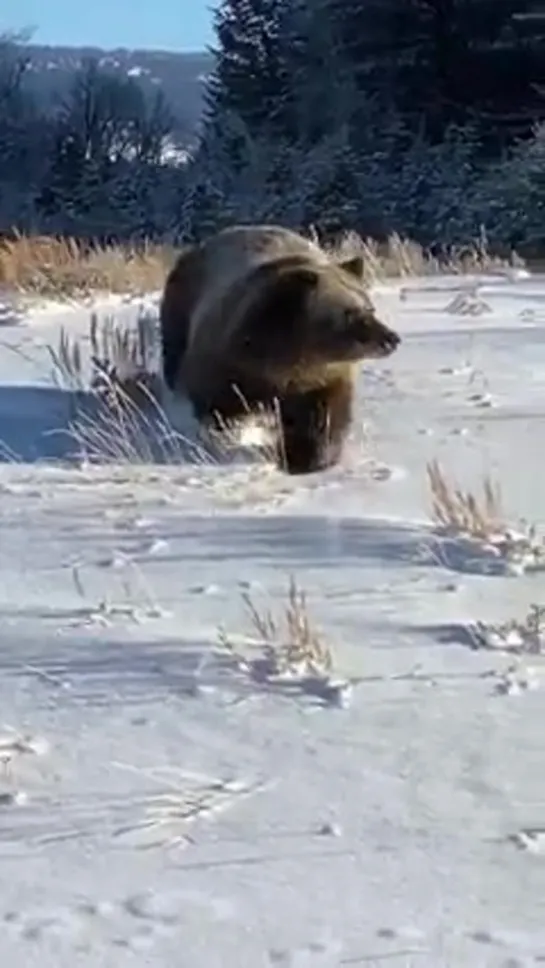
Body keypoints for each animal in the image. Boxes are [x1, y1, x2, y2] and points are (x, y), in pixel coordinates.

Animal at [157, 223, 400, 472]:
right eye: (350, 313)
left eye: (369, 307)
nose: (391, 339)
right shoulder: (229, 365)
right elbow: (218, 409)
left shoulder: (320, 380)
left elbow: (322, 420)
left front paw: (309, 458)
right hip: (180, 310)